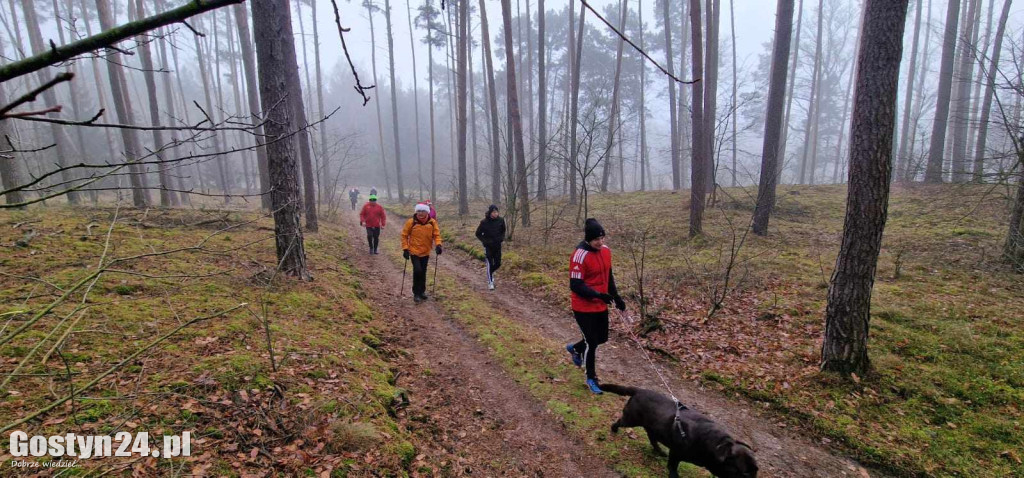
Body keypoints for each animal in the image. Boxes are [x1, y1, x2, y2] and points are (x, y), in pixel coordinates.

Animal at [602, 384, 757, 478]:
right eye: (745, 474)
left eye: (757, 471)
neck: (713, 444)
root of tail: (639, 390)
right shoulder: (676, 453)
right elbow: (672, 467)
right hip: (631, 419)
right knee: (620, 422)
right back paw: (614, 429)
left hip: (653, 426)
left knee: (652, 437)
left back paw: (659, 451)